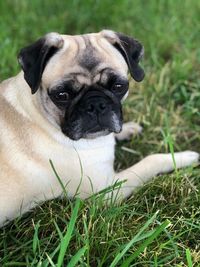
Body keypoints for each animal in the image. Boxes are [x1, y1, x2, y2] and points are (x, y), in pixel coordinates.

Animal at [0, 29, 198, 227]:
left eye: (118, 86)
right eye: (62, 95)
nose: (95, 104)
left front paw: (128, 129)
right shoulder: (107, 190)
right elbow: (151, 160)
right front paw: (183, 157)